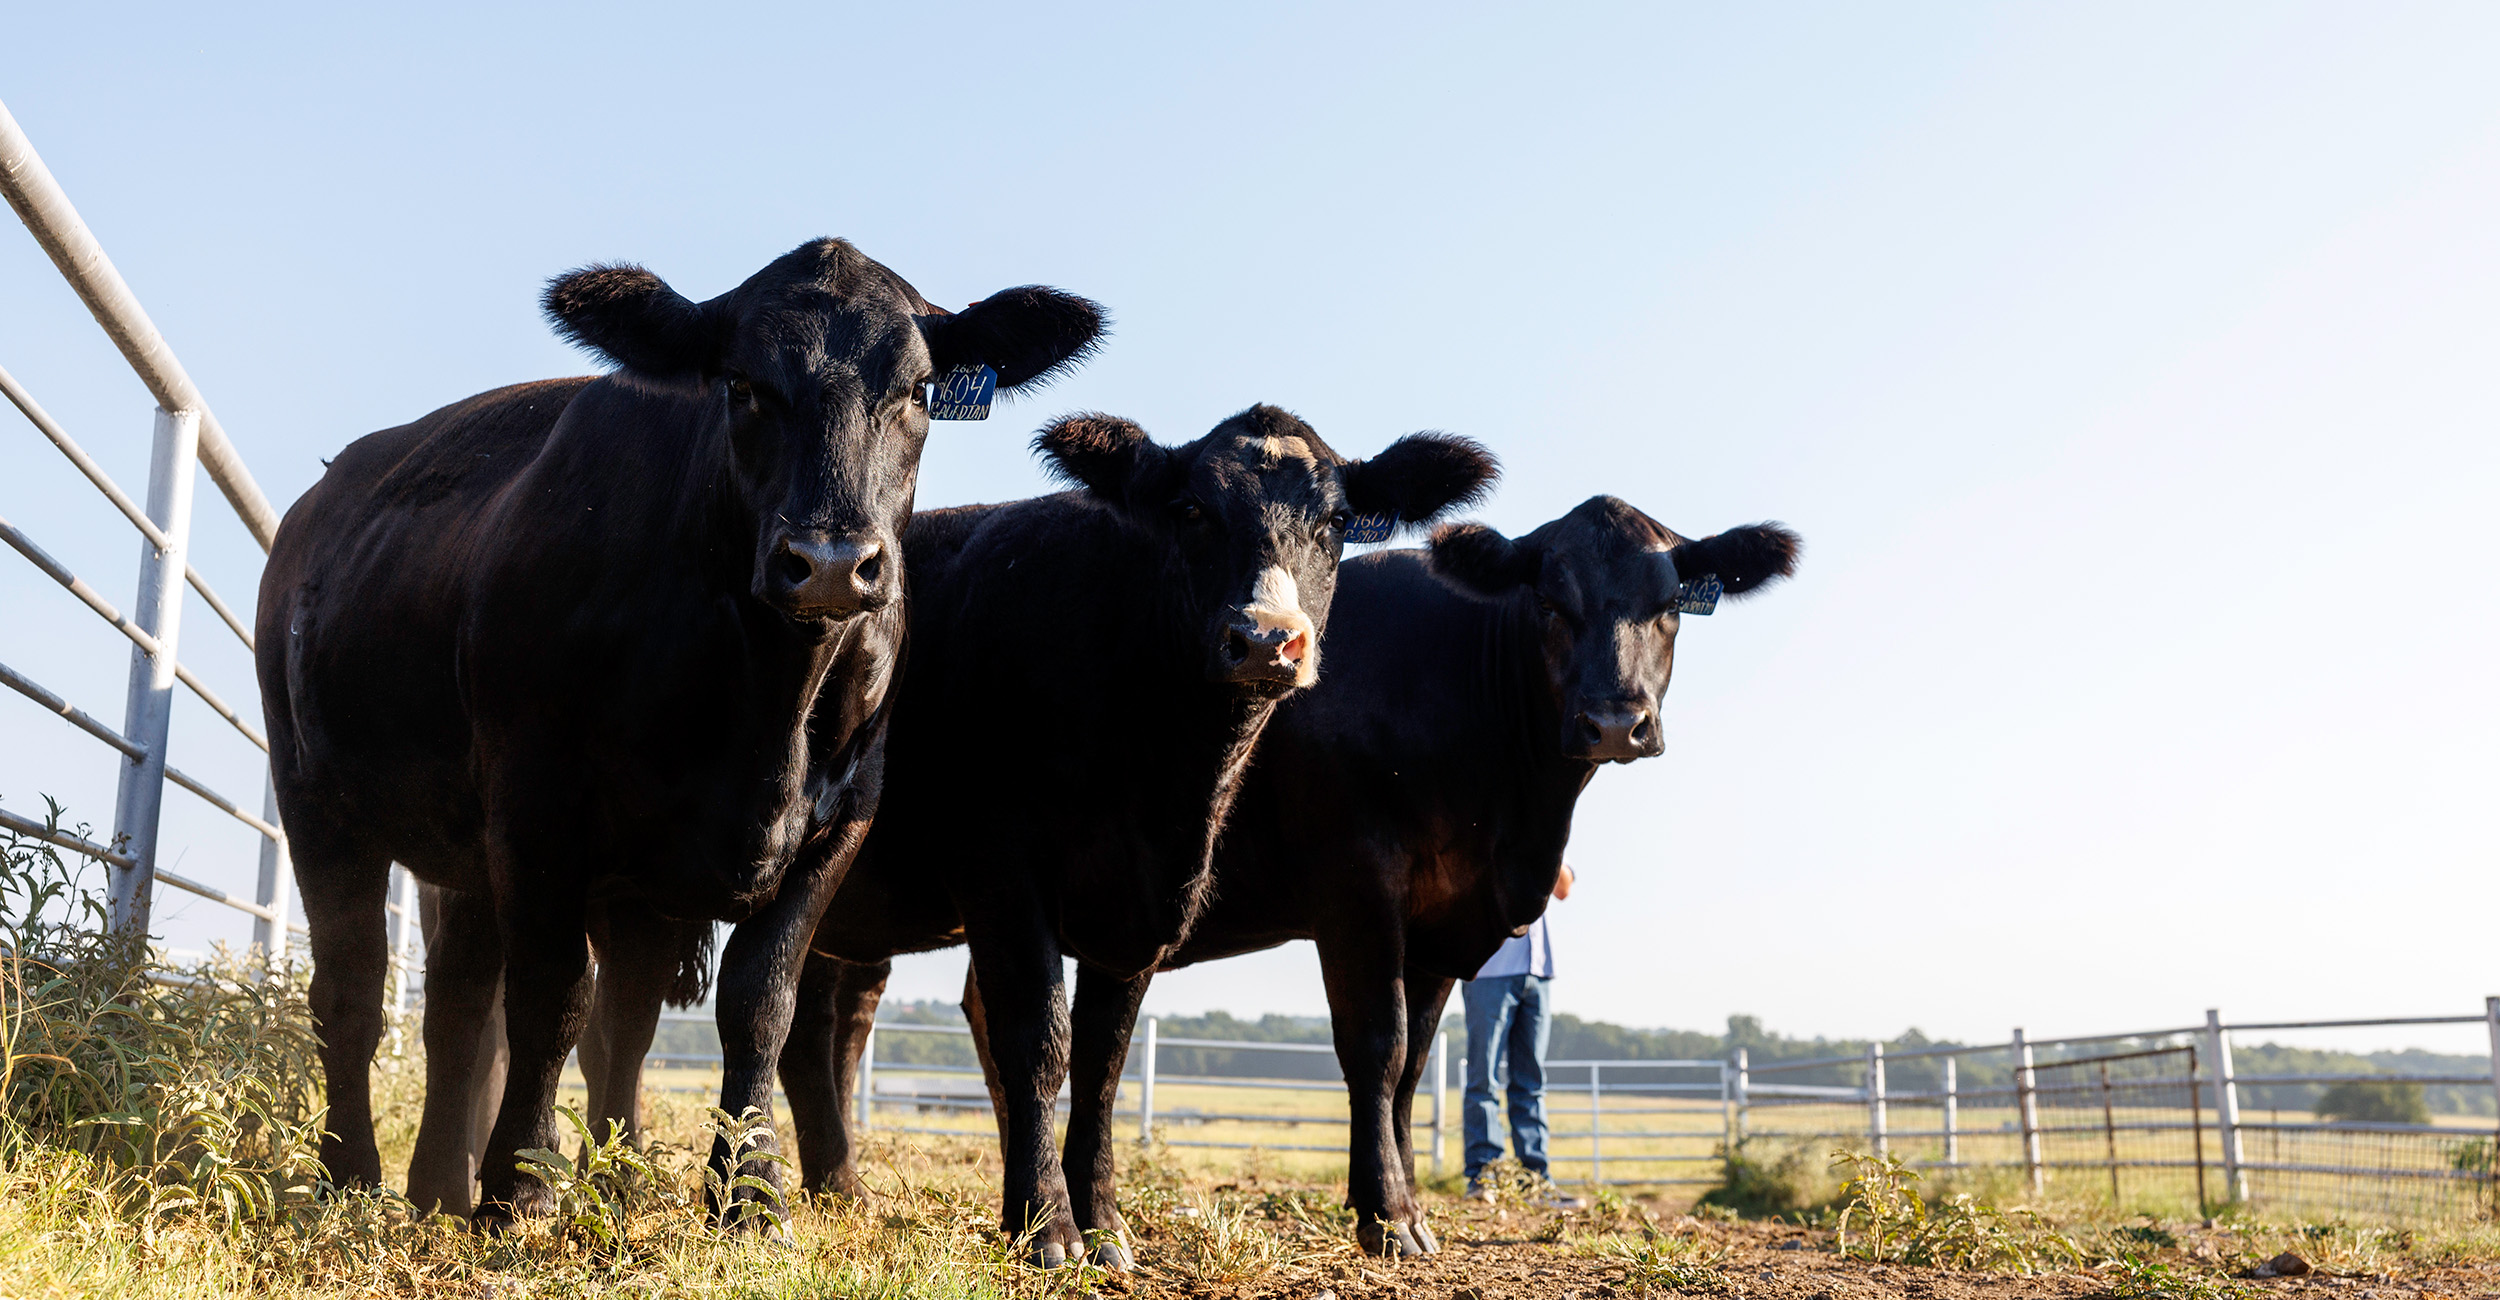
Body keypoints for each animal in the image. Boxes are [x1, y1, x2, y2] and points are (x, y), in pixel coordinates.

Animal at [254, 237, 1104, 1228]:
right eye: (741, 384)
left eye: (919, 391)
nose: (830, 563)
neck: (764, 700)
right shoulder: (537, 801)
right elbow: (552, 994)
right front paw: (522, 1183)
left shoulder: (842, 814)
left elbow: (758, 1002)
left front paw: (749, 1191)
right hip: (318, 799)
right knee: (351, 989)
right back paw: (352, 1174)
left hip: (502, 861)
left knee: (494, 1007)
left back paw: (469, 1190)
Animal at [808, 495, 1798, 1257]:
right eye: (1552, 601)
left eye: (1669, 606)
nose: (1614, 720)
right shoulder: (1359, 888)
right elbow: (1377, 1046)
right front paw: (1390, 1220)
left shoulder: (1439, 922)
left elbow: (1413, 1068)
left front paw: (1398, 1199)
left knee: (850, 1021)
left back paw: (842, 1190)